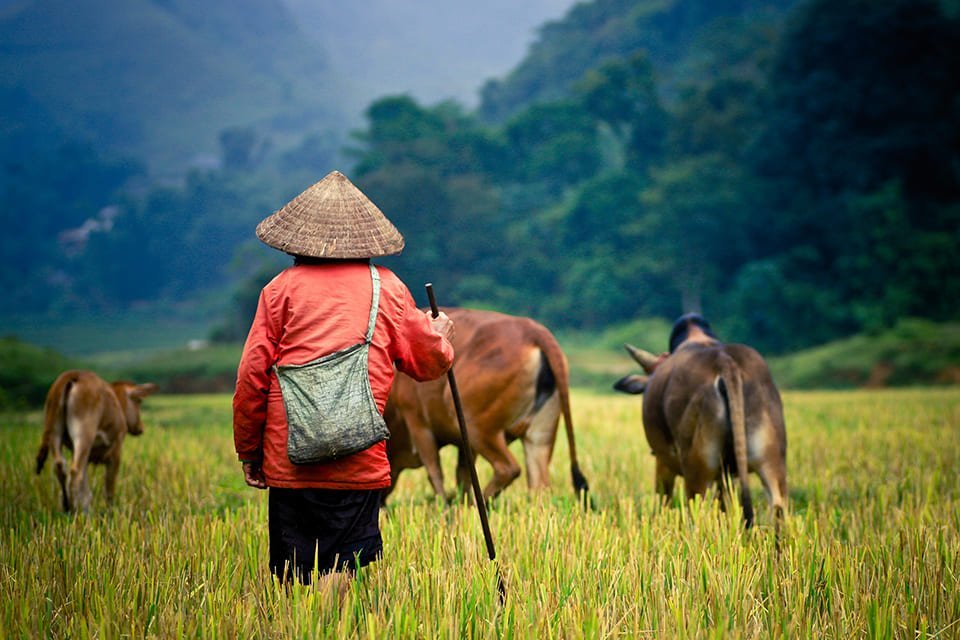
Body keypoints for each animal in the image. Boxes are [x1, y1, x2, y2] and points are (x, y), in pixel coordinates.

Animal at [34, 370, 157, 510]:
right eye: (139, 401)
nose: (141, 427)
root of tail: (73, 374)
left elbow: (86, 489)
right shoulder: (116, 451)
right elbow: (109, 489)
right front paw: (111, 512)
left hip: (54, 432)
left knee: (60, 466)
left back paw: (67, 506)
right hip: (84, 434)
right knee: (75, 472)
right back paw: (76, 510)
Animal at [382, 308, 584, 502]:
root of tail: (533, 332)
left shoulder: (417, 422)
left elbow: (435, 472)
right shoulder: (464, 444)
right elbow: (463, 475)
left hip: (477, 426)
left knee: (508, 468)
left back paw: (478, 503)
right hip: (539, 437)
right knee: (539, 486)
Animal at [616, 312, 788, 528]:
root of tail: (725, 361)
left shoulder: (663, 461)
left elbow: (663, 501)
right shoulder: (726, 476)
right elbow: (723, 505)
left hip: (696, 467)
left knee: (696, 512)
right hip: (770, 459)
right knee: (778, 506)